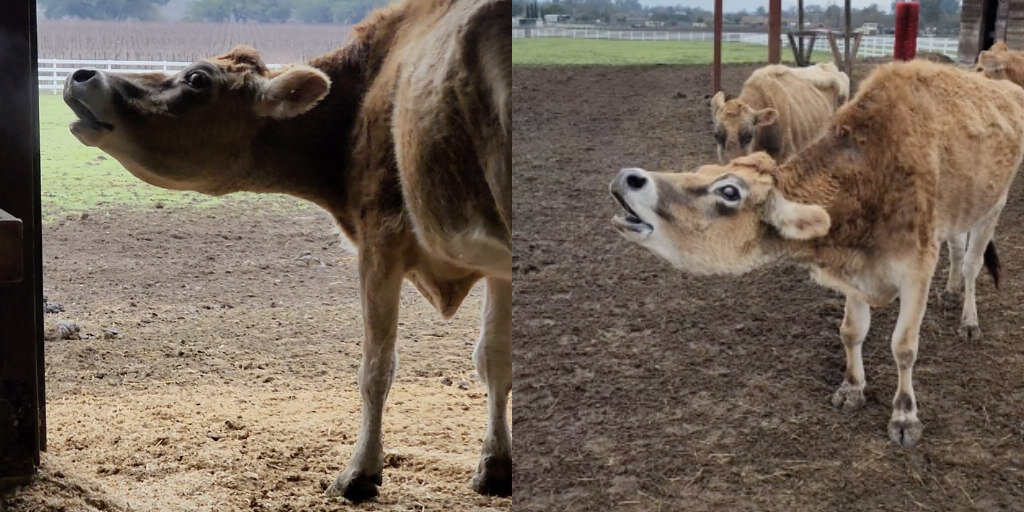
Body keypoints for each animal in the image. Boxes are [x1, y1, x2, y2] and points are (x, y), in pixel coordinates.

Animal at [62, 0, 511, 502]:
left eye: (198, 78)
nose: (82, 74)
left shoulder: (380, 239)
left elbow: (376, 368)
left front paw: (360, 473)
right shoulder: (496, 268)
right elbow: (494, 357)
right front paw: (495, 468)